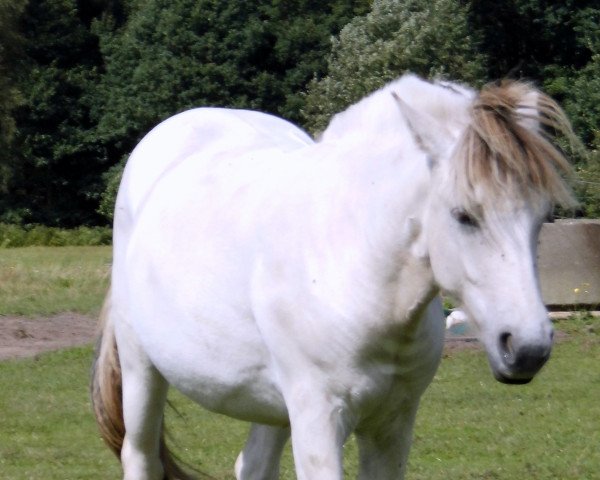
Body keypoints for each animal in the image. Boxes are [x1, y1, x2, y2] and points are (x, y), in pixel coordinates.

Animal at [91, 73, 576, 478]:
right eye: (464, 216)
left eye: (541, 217)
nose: (527, 349)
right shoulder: (319, 421)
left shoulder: (392, 426)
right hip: (141, 369)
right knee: (140, 456)